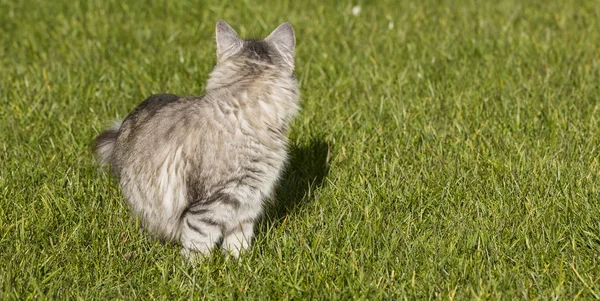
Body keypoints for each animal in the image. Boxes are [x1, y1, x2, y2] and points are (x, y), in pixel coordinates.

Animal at [94, 20, 300, 258]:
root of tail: (123, 125)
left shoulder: (249, 198)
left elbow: (238, 238)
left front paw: (236, 262)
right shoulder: (214, 201)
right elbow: (199, 242)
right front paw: (197, 267)